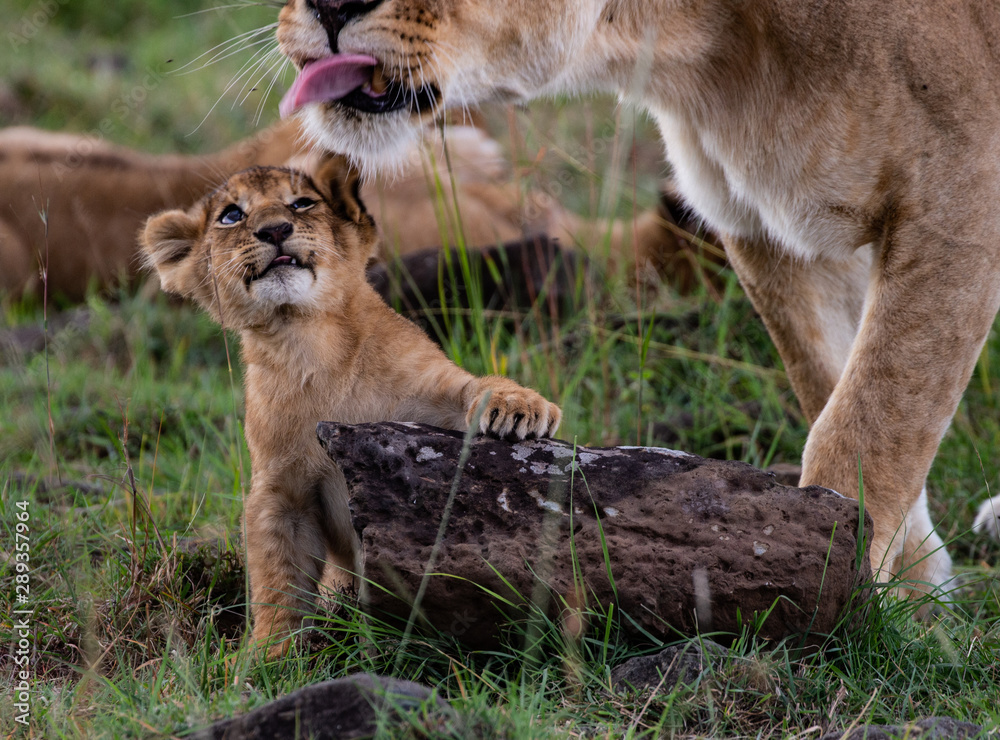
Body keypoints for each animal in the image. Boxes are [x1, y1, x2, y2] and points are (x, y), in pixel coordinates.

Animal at [140, 159, 561, 656]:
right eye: (231, 215)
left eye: (302, 203)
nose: (275, 229)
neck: (309, 342)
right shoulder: (281, 488)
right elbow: (277, 579)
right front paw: (268, 656)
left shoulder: (432, 396)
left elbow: (473, 386)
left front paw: (520, 407)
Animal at [276, 0, 1000, 601]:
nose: (327, 6)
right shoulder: (772, 223)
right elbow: (832, 384)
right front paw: (911, 592)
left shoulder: (954, 197)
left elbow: (873, 421)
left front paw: (843, 607)